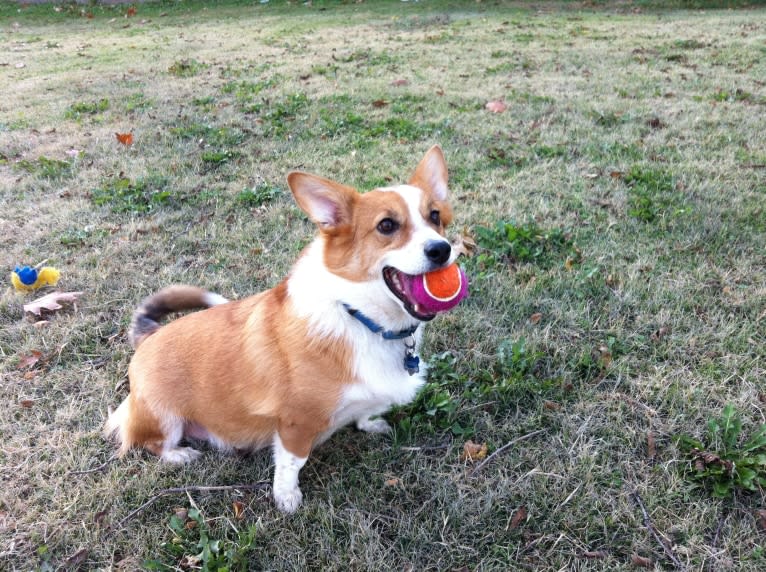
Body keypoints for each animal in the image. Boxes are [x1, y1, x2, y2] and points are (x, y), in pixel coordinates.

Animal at [106, 145, 460, 512]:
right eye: (387, 225)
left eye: (435, 216)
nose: (441, 249)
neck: (358, 315)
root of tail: (147, 336)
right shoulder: (296, 422)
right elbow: (292, 462)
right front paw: (286, 496)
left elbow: (365, 413)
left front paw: (370, 423)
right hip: (164, 418)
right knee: (147, 441)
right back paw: (179, 454)